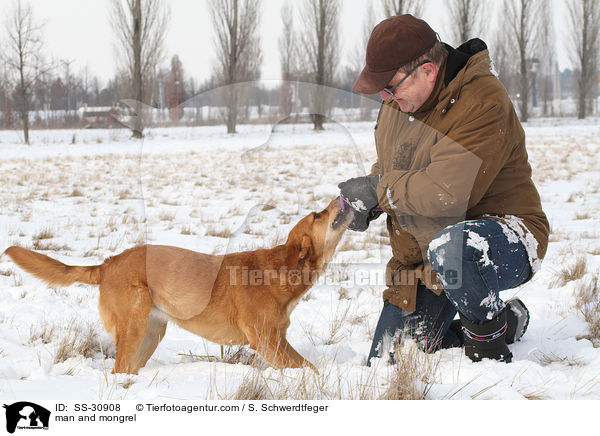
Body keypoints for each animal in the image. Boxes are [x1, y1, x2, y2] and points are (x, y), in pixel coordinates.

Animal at [3, 199, 352, 372]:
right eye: (317, 214)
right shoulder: (267, 341)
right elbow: (306, 370)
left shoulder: (276, 338)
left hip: (150, 334)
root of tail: (108, 263)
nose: (340, 196)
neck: (281, 270)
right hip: (133, 328)